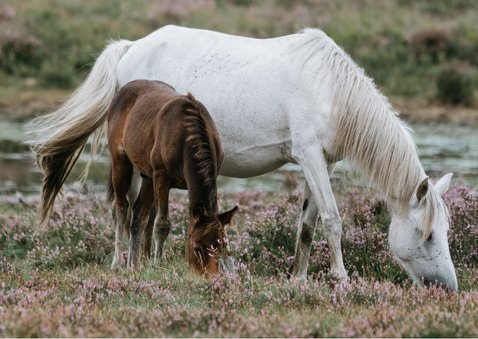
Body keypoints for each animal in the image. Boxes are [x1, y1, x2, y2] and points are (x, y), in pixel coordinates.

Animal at [27, 25, 460, 290]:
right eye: (428, 234)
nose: (447, 288)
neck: (332, 90)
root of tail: (130, 47)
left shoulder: (320, 163)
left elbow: (307, 225)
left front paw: (298, 279)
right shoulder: (310, 157)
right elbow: (333, 220)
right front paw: (342, 280)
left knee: (141, 214)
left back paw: (140, 263)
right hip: (130, 164)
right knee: (123, 208)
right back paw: (121, 264)